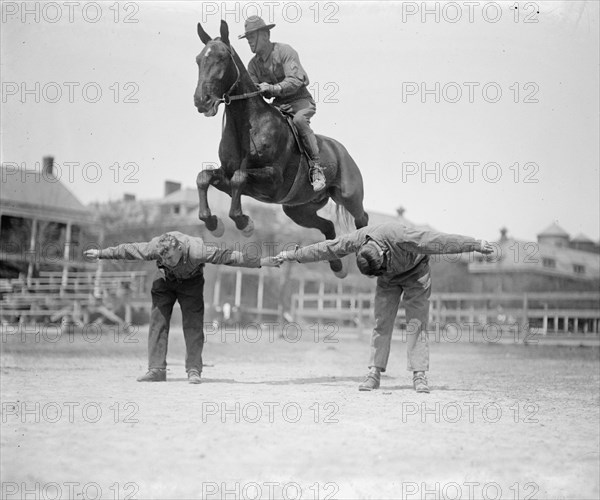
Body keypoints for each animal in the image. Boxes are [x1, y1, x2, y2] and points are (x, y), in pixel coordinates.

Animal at [195, 20, 368, 278]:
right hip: (297, 209)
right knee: (327, 225)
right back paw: (337, 266)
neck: (248, 124)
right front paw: (214, 224)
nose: (201, 101)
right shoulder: (227, 175)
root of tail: (342, 151)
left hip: (348, 196)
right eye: (199, 59)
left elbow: (239, 177)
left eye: (222, 57)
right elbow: (205, 177)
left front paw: (245, 224)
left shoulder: (272, 180)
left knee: (361, 217)